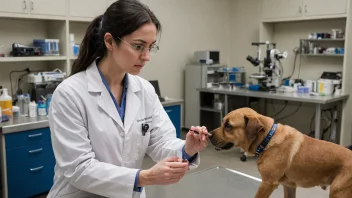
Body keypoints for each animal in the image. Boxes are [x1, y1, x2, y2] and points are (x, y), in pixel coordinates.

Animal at [210, 107, 352, 198]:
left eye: (228, 126)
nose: (209, 135)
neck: (267, 139)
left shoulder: (267, 184)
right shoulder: (289, 186)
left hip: (338, 192)